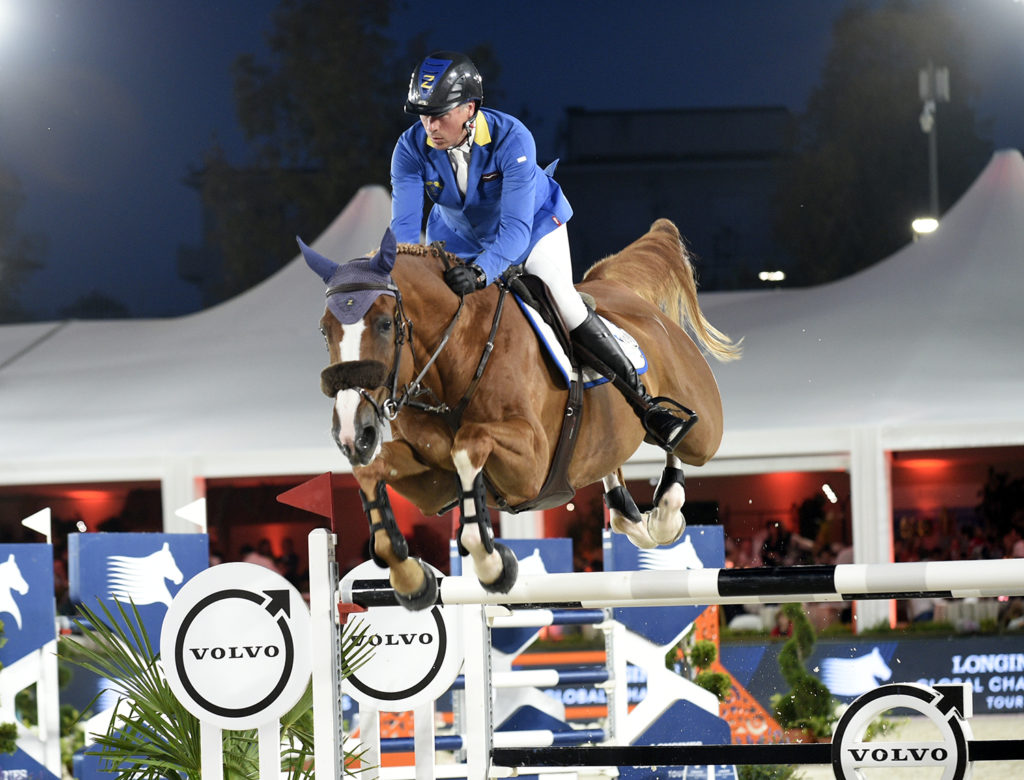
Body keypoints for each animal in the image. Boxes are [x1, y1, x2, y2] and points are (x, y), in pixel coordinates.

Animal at [299, 219, 741, 605]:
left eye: (385, 324)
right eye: (324, 330)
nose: (353, 435)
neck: (458, 357)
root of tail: (615, 288)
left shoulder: (531, 466)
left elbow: (468, 444)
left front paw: (492, 565)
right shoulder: (432, 483)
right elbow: (372, 471)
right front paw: (411, 580)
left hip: (705, 431)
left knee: (675, 440)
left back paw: (666, 505)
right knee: (616, 470)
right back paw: (629, 514)